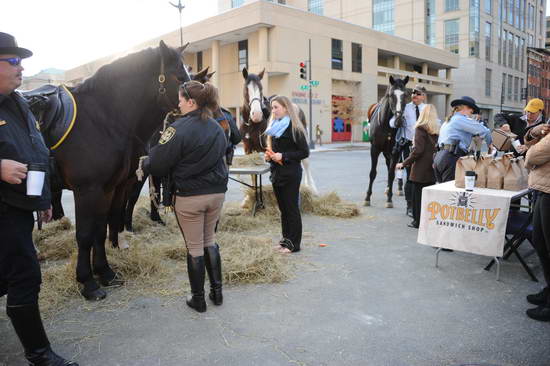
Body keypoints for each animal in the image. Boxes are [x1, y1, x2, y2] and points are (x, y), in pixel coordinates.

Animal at [48, 40, 192, 300]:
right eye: (179, 77)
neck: (101, 120)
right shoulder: (87, 190)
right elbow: (85, 234)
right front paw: (88, 282)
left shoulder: (106, 189)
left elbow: (99, 229)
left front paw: (105, 272)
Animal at [366, 76, 410, 207]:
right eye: (391, 95)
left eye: (405, 94)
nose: (399, 121)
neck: (386, 126)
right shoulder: (374, 149)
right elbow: (372, 173)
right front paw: (367, 197)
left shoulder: (396, 151)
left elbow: (391, 174)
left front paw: (389, 199)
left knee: (397, 167)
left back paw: (398, 188)